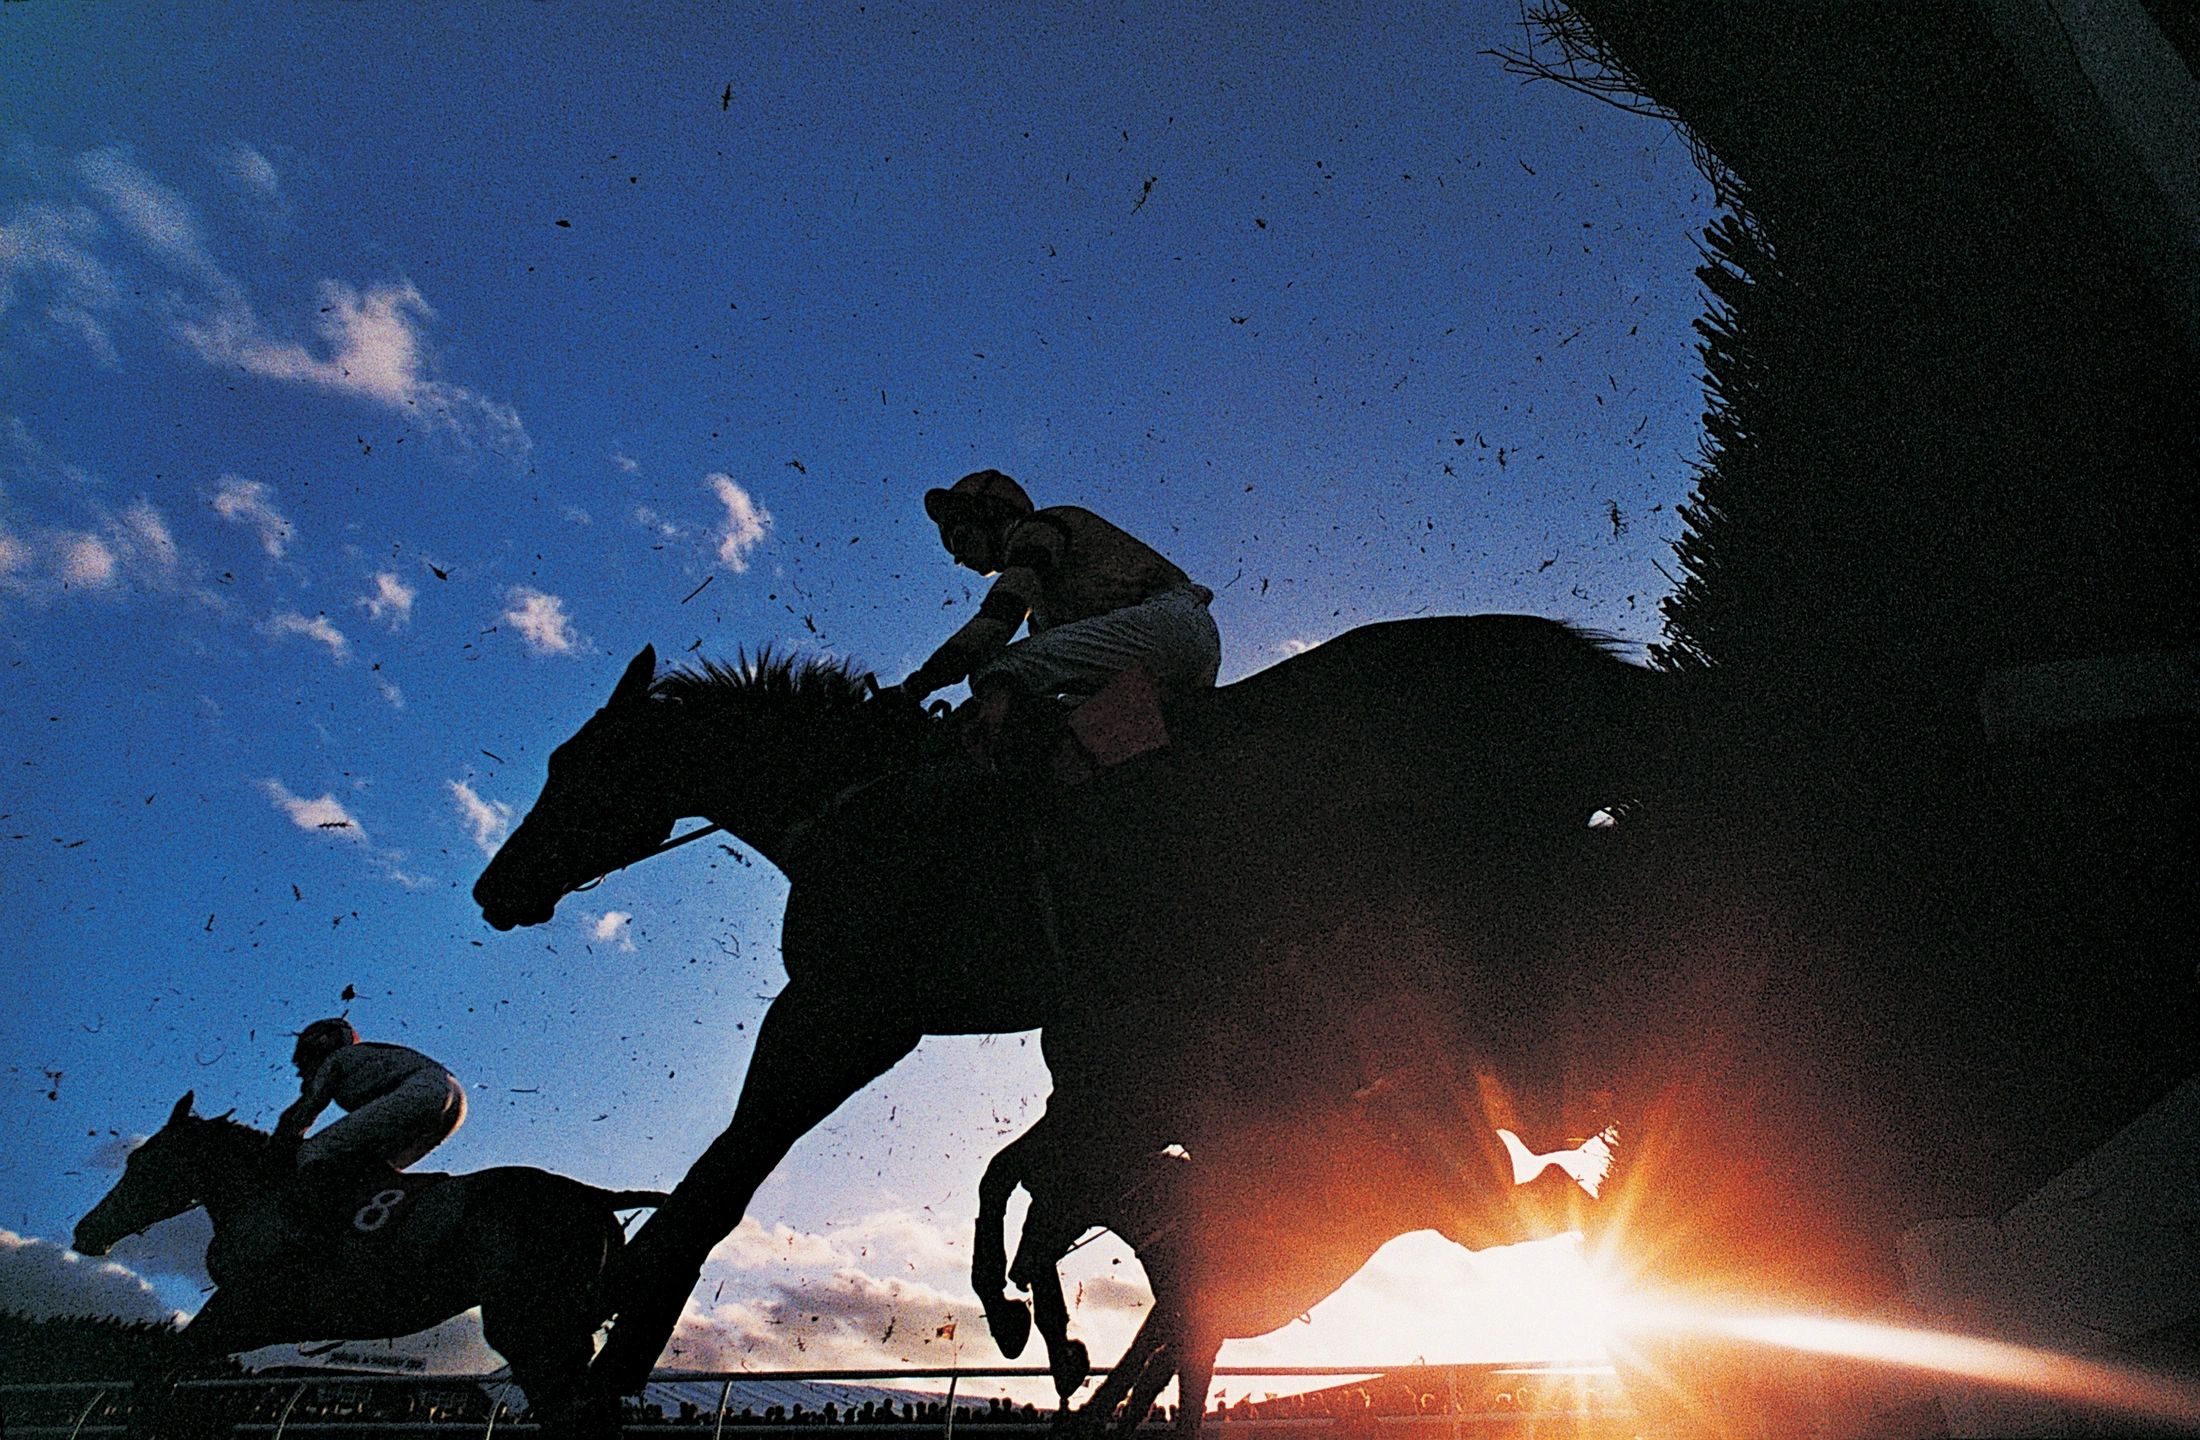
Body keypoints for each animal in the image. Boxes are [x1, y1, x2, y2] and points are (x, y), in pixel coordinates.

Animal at [75, 1099, 660, 1433]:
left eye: (141, 1161)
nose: (86, 1231)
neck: (263, 1192)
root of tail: (595, 1195)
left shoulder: (246, 1306)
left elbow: (158, 1371)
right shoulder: (258, 1320)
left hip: (527, 1325)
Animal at [468, 615, 1663, 1389]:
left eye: (576, 763)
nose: (494, 889)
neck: (861, 798)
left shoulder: (848, 1006)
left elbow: (723, 1182)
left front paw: (612, 1315)